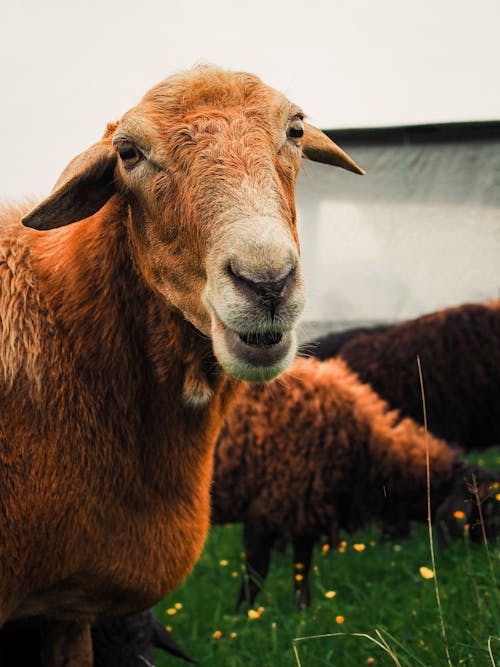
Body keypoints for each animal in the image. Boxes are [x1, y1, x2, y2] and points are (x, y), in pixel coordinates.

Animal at [211, 360, 500, 612]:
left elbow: (301, 568)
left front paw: (301, 614)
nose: (489, 563)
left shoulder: (302, 509)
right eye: (482, 511)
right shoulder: (268, 507)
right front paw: (241, 617)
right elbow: (255, 574)